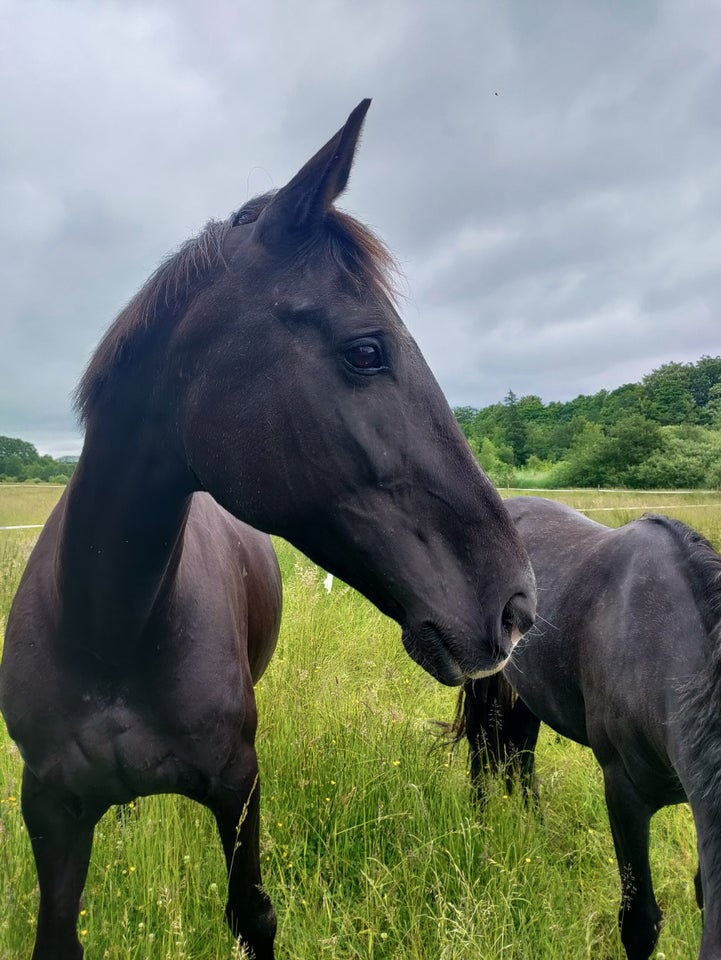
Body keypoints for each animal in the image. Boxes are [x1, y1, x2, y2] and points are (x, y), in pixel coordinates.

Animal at [0, 99, 536, 960]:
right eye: (366, 351)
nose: (516, 606)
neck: (111, 628)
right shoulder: (48, 809)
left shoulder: (238, 788)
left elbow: (252, 913)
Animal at [456, 496, 720, 960]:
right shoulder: (624, 793)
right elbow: (639, 924)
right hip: (483, 681)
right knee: (480, 749)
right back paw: (480, 822)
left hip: (529, 694)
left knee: (522, 757)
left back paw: (536, 830)